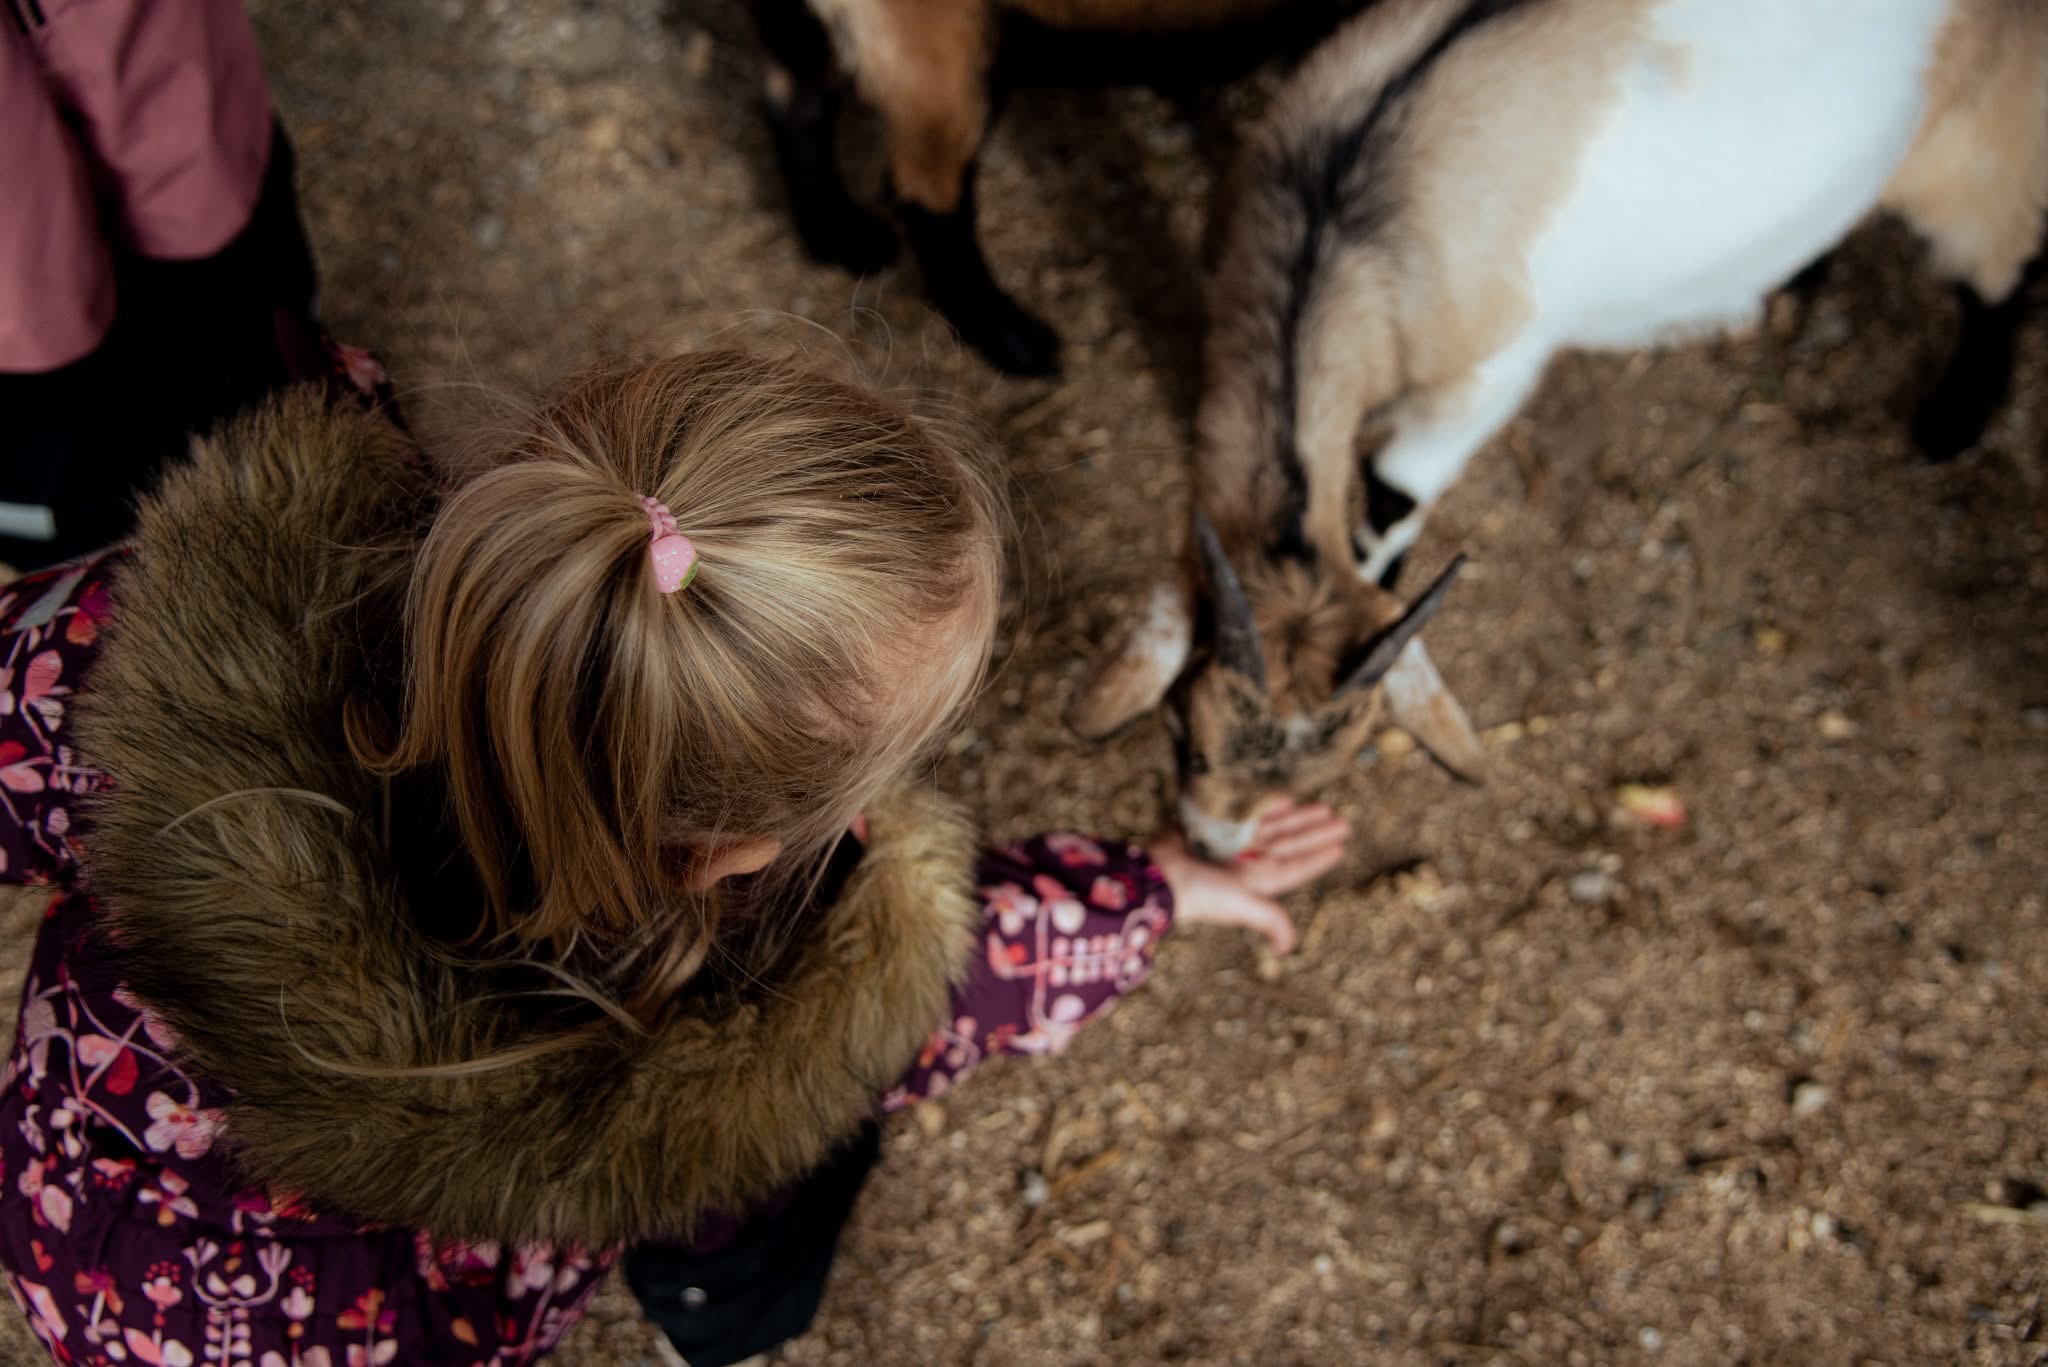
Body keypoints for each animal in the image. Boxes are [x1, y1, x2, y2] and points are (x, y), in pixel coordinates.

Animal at [1070, 0, 2048, 859]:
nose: (1212, 842)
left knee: (2003, 265)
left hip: (1977, 153)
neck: (1344, 212)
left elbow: (1389, 508)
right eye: (1189, 738)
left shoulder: (1476, 389)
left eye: (1320, 781)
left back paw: (1953, 420)